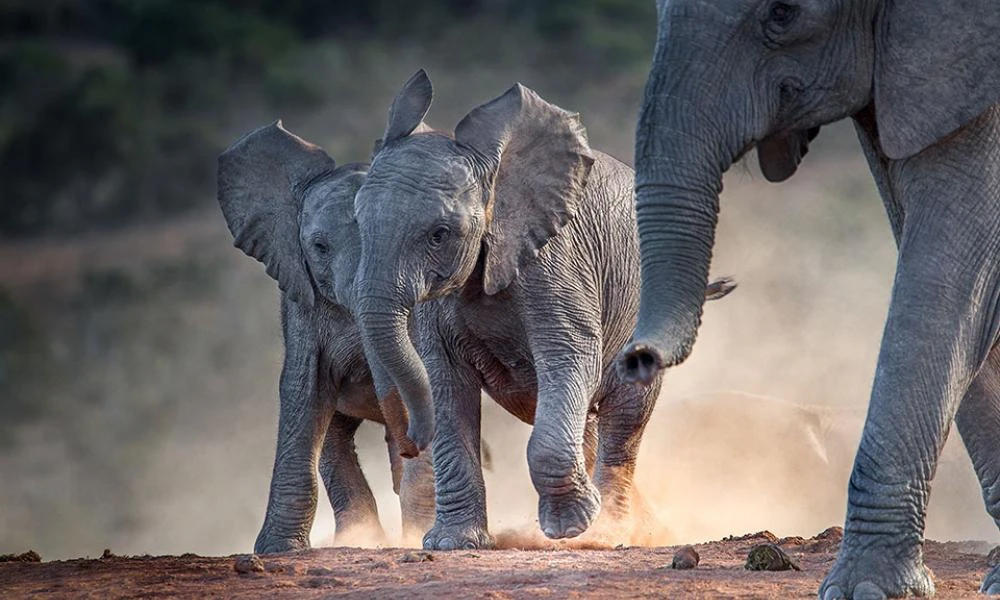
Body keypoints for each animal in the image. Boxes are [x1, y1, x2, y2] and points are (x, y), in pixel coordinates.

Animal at [215, 122, 434, 552]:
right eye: (318, 247)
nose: (409, 442)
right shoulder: (301, 301)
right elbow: (303, 390)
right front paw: (277, 550)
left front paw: (420, 534)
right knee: (334, 439)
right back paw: (359, 537)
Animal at [354, 69, 736, 548]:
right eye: (357, 223)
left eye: (439, 234)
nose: (407, 442)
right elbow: (446, 383)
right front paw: (452, 545)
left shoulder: (556, 261)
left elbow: (568, 356)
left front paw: (570, 528)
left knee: (624, 419)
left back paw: (609, 532)